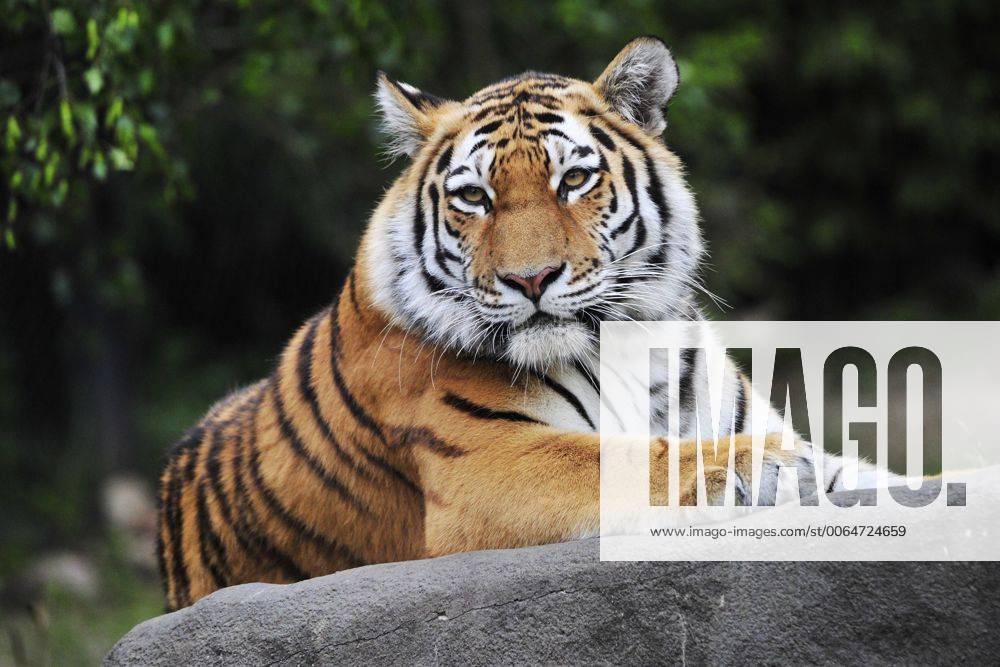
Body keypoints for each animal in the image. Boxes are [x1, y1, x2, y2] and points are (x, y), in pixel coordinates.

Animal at [157, 36, 884, 611]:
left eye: (574, 180)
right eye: (474, 197)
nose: (530, 280)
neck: (630, 348)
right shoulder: (485, 464)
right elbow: (625, 455)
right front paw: (765, 465)